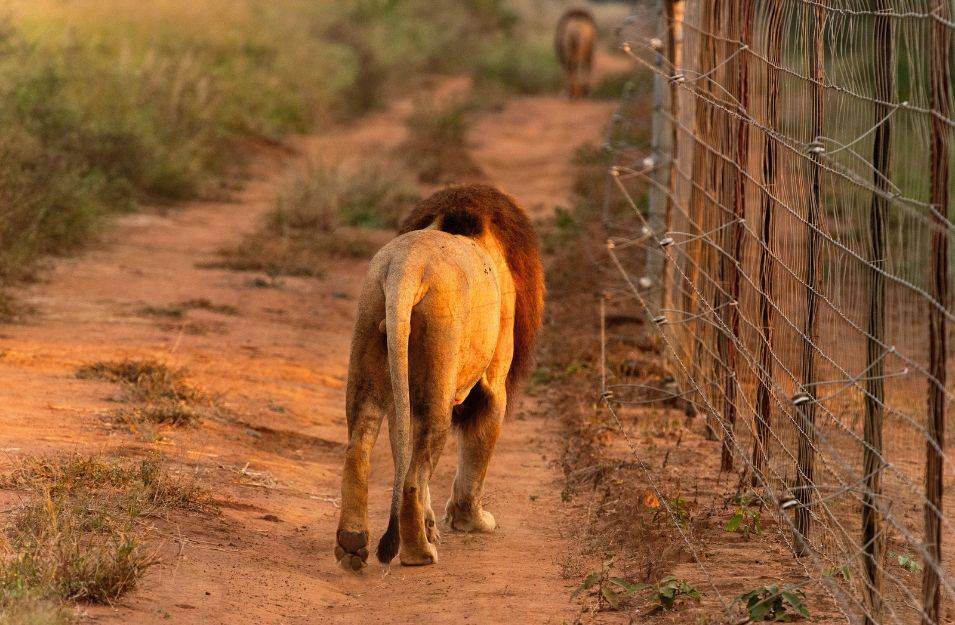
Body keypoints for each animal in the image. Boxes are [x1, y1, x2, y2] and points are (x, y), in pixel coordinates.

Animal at [334, 184, 544, 568]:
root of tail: (407, 266)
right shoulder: (494, 385)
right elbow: (477, 454)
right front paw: (471, 520)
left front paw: (432, 524)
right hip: (438, 368)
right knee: (413, 479)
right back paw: (419, 552)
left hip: (371, 330)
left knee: (361, 447)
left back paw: (353, 543)